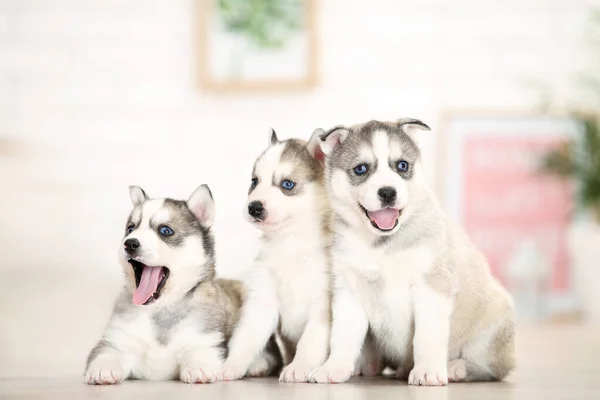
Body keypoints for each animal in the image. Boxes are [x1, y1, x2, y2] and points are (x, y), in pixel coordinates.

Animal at [310, 120, 516, 386]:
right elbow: (342, 337)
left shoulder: (432, 287)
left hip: (493, 324)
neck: (381, 243)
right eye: (361, 169)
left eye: (402, 165)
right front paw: (333, 367)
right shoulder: (350, 291)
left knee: (494, 368)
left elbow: (427, 336)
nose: (388, 192)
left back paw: (457, 368)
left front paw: (427, 370)